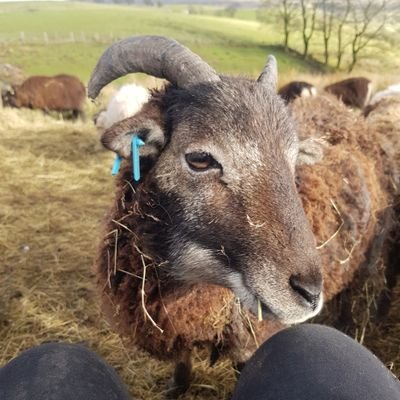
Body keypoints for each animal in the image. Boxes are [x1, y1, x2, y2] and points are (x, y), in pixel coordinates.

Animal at [87, 36, 396, 396]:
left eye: (293, 162)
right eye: (200, 159)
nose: (309, 293)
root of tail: (347, 114)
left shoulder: (251, 344)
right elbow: (183, 361)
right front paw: (177, 387)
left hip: (370, 252)